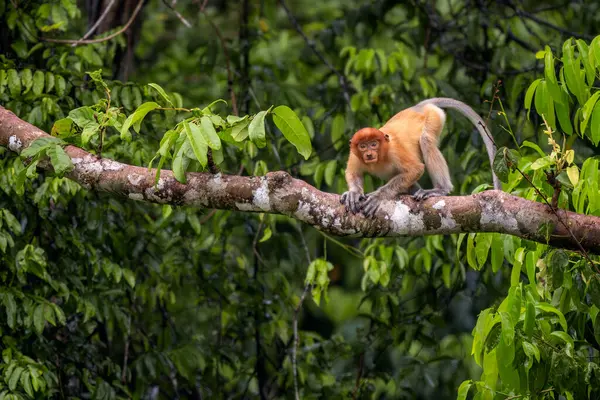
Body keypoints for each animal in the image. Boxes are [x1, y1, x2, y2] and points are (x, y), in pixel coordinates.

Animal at [340, 97, 500, 216]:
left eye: (373, 144)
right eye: (363, 146)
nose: (369, 154)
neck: (380, 155)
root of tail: (418, 107)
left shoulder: (394, 151)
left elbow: (416, 169)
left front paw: (378, 196)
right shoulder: (354, 155)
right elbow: (353, 173)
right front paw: (353, 193)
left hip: (434, 116)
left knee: (426, 140)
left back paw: (441, 189)